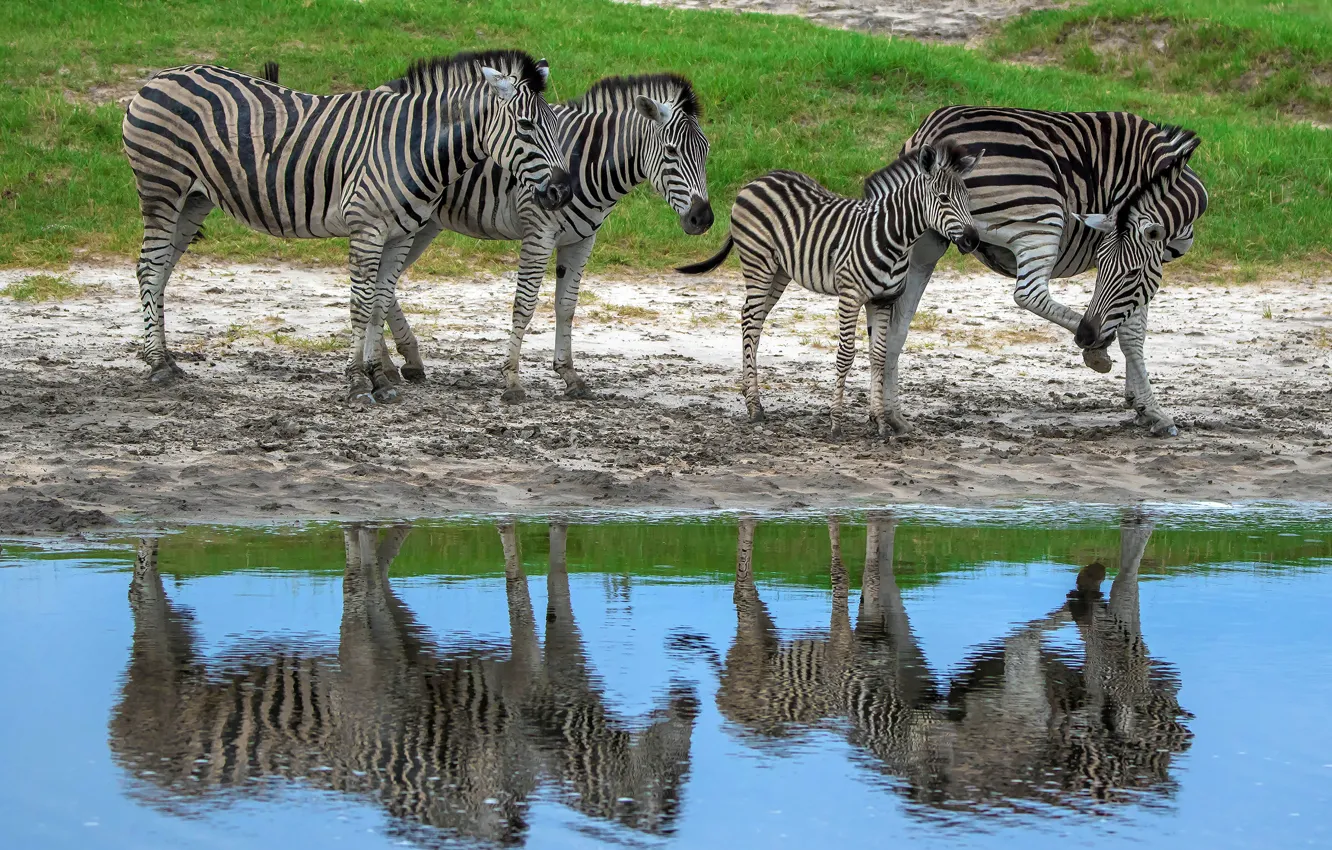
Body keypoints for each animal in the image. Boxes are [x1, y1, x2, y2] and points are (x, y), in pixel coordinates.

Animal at [111, 524, 698, 845]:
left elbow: (556, 576)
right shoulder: (520, 673)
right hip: (163, 665)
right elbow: (518, 590)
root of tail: (135, 769)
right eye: (672, 776)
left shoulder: (559, 655)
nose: (691, 705)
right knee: (140, 593)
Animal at [122, 50, 573, 406]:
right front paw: (357, 384)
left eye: (556, 124)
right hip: (162, 188)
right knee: (149, 268)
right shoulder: (367, 229)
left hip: (194, 200)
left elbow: (380, 302)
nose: (563, 191)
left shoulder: (400, 235)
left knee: (162, 270)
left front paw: (378, 379)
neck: (412, 147)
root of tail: (161, 75)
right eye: (527, 127)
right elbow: (361, 304)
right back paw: (158, 365)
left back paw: (165, 358)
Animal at [675, 142, 982, 437]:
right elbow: (846, 355)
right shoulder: (850, 296)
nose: (973, 240)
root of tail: (759, 179)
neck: (894, 238)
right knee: (750, 321)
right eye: (943, 199)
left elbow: (879, 355)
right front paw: (836, 423)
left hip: (780, 271)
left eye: (968, 200)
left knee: (752, 318)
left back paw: (750, 392)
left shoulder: (882, 300)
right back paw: (754, 406)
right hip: (758, 262)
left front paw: (881, 424)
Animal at [879, 107, 1206, 437]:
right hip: (1041, 221)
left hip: (925, 241)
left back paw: (888, 415)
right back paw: (1098, 349)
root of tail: (930, 131)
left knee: (896, 324)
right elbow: (1132, 335)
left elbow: (1129, 325)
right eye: (1108, 267)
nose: (1088, 335)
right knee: (1029, 294)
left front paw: (1137, 402)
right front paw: (1153, 411)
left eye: (1131, 273)